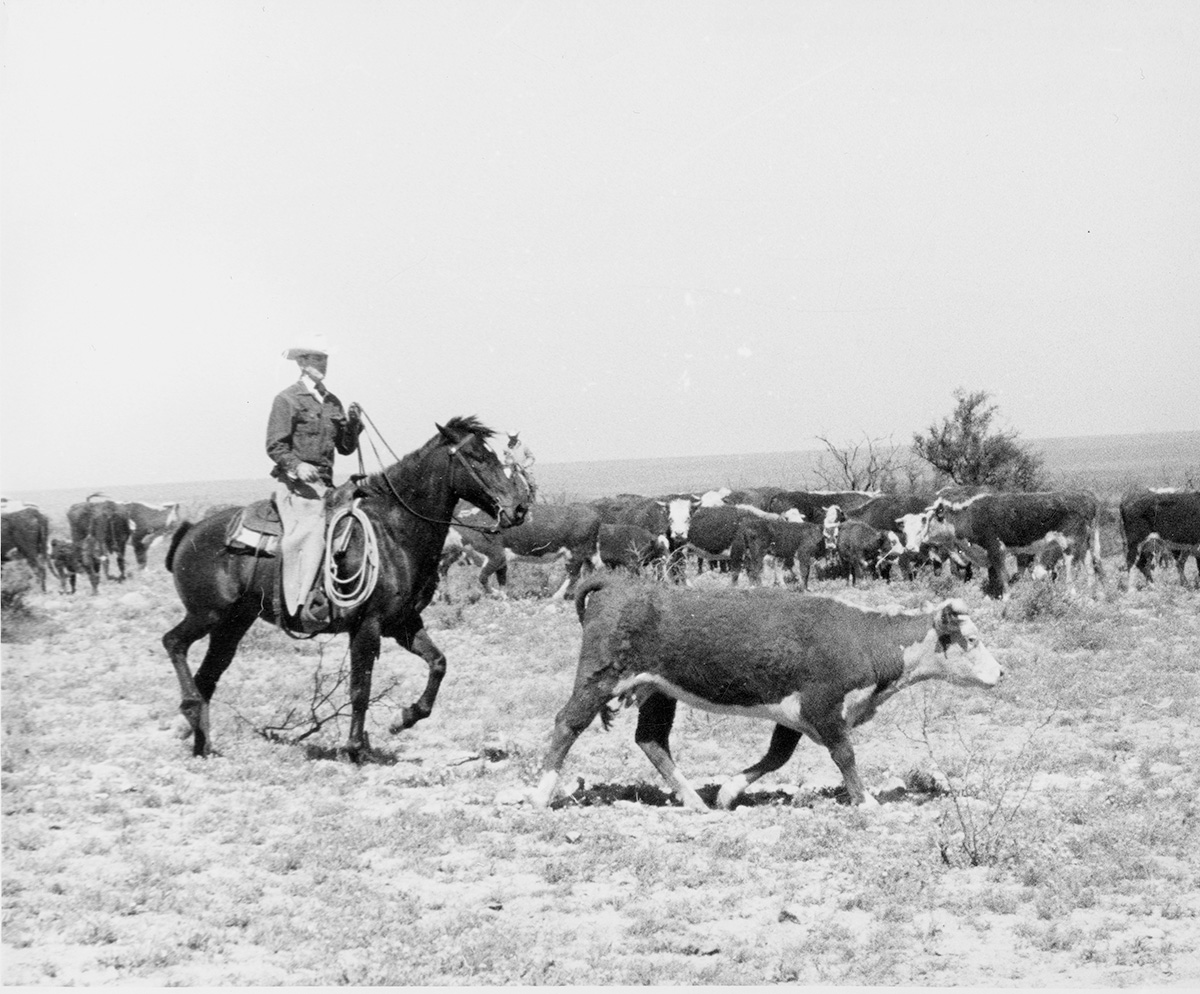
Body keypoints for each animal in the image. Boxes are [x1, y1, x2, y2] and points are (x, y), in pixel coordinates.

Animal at [162, 417, 528, 758]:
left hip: (234, 622)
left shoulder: (403, 623)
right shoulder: (367, 626)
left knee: (210, 673)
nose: (519, 508)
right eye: (478, 457)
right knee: (174, 643)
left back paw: (201, 743)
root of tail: (192, 529)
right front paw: (356, 747)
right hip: (207, 614)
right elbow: (360, 689)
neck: (393, 532)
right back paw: (189, 711)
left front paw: (403, 718)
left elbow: (438, 663)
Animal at [535, 578, 1003, 811]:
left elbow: (777, 756)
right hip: (599, 679)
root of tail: (615, 587)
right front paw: (866, 800)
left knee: (651, 739)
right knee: (567, 724)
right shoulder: (823, 707)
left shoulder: (793, 713)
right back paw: (540, 794)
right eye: (972, 640)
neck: (863, 639)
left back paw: (695, 801)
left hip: (658, 690)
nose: (1001, 671)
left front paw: (727, 793)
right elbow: (845, 755)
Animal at [916, 492, 1104, 597]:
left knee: (1071, 572)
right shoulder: (990, 555)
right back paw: (1091, 598)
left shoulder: (995, 549)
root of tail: (1087, 499)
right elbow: (994, 577)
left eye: (930, 521)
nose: (922, 539)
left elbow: (1003, 576)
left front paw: (1005, 598)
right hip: (1084, 546)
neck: (969, 518)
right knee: (1090, 569)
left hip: (1070, 546)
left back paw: (1070, 595)